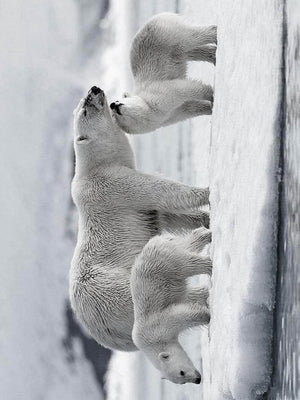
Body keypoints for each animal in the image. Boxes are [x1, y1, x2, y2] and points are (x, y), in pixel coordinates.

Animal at [70, 85, 211, 354]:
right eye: (84, 108)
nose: (95, 88)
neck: (95, 165)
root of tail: (109, 337)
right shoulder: (113, 184)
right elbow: (162, 191)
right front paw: (207, 191)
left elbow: (167, 214)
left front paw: (205, 218)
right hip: (117, 292)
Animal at [131, 227, 211, 382]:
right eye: (181, 381)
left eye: (181, 372)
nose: (198, 380)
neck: (150, 343)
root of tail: (155, 241)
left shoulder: (159, 326)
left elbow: (184, 315)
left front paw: (206, 315)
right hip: (171, 252)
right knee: (188, 246)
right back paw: (203, 234)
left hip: (165, 264)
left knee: (188, 264)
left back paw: (209, 265)